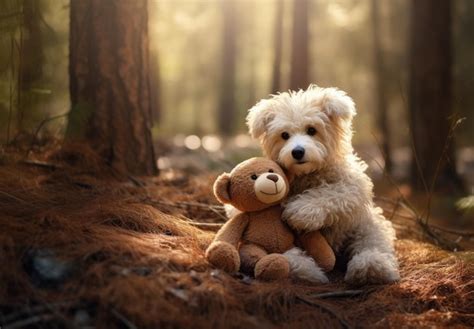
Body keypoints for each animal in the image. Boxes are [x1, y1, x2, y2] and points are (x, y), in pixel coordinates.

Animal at [248, 85, 400, 284]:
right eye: (284, 135)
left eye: (312, 130)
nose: (297, 152)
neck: (308, 174)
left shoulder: (354, 185)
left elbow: (334, 193)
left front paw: (301, 211)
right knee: (288, 255)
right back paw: (309, 270)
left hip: (366, 227)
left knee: (373, 244)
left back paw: (371, 266)